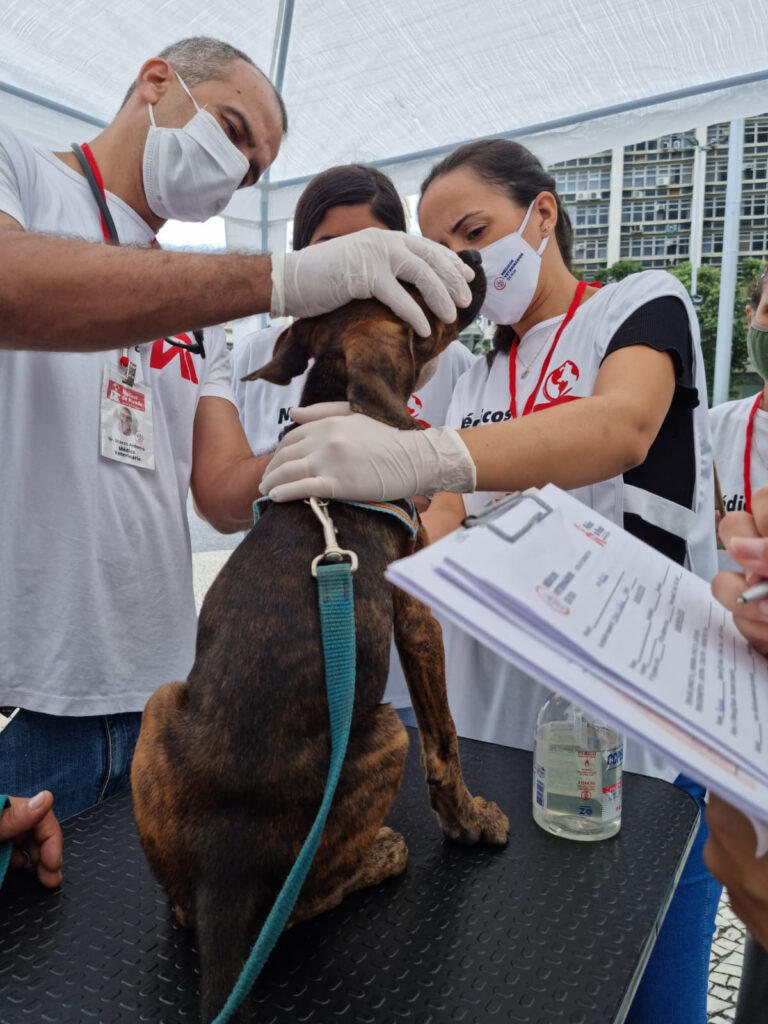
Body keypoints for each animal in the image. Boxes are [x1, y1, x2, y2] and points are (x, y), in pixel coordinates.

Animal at [132, 249, 512, 1024]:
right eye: (423, 300)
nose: (472, 256)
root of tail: (226, 864)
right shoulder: (418, 621)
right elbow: (446, 742)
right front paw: (470, 821)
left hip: (158, 707)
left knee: (187, 912)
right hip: (385, 736)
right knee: (292, 911)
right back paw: (383, 855)